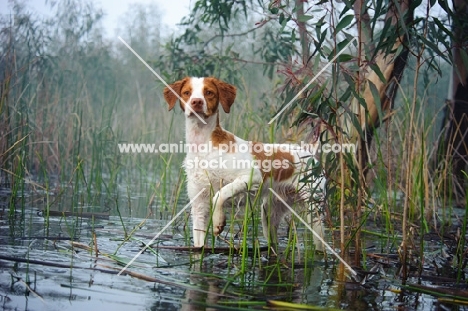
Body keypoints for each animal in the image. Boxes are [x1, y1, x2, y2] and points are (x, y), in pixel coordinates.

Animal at [164, 77, 326, 250]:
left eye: (209, 92)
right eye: (187, 92)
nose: (196, 102)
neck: (204, 147)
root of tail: (310, 153)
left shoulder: (252, 177)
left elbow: (220, 194)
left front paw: (218, 221)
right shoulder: (199, 205)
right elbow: (199, 241)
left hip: (314, 210)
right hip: (269, 213)